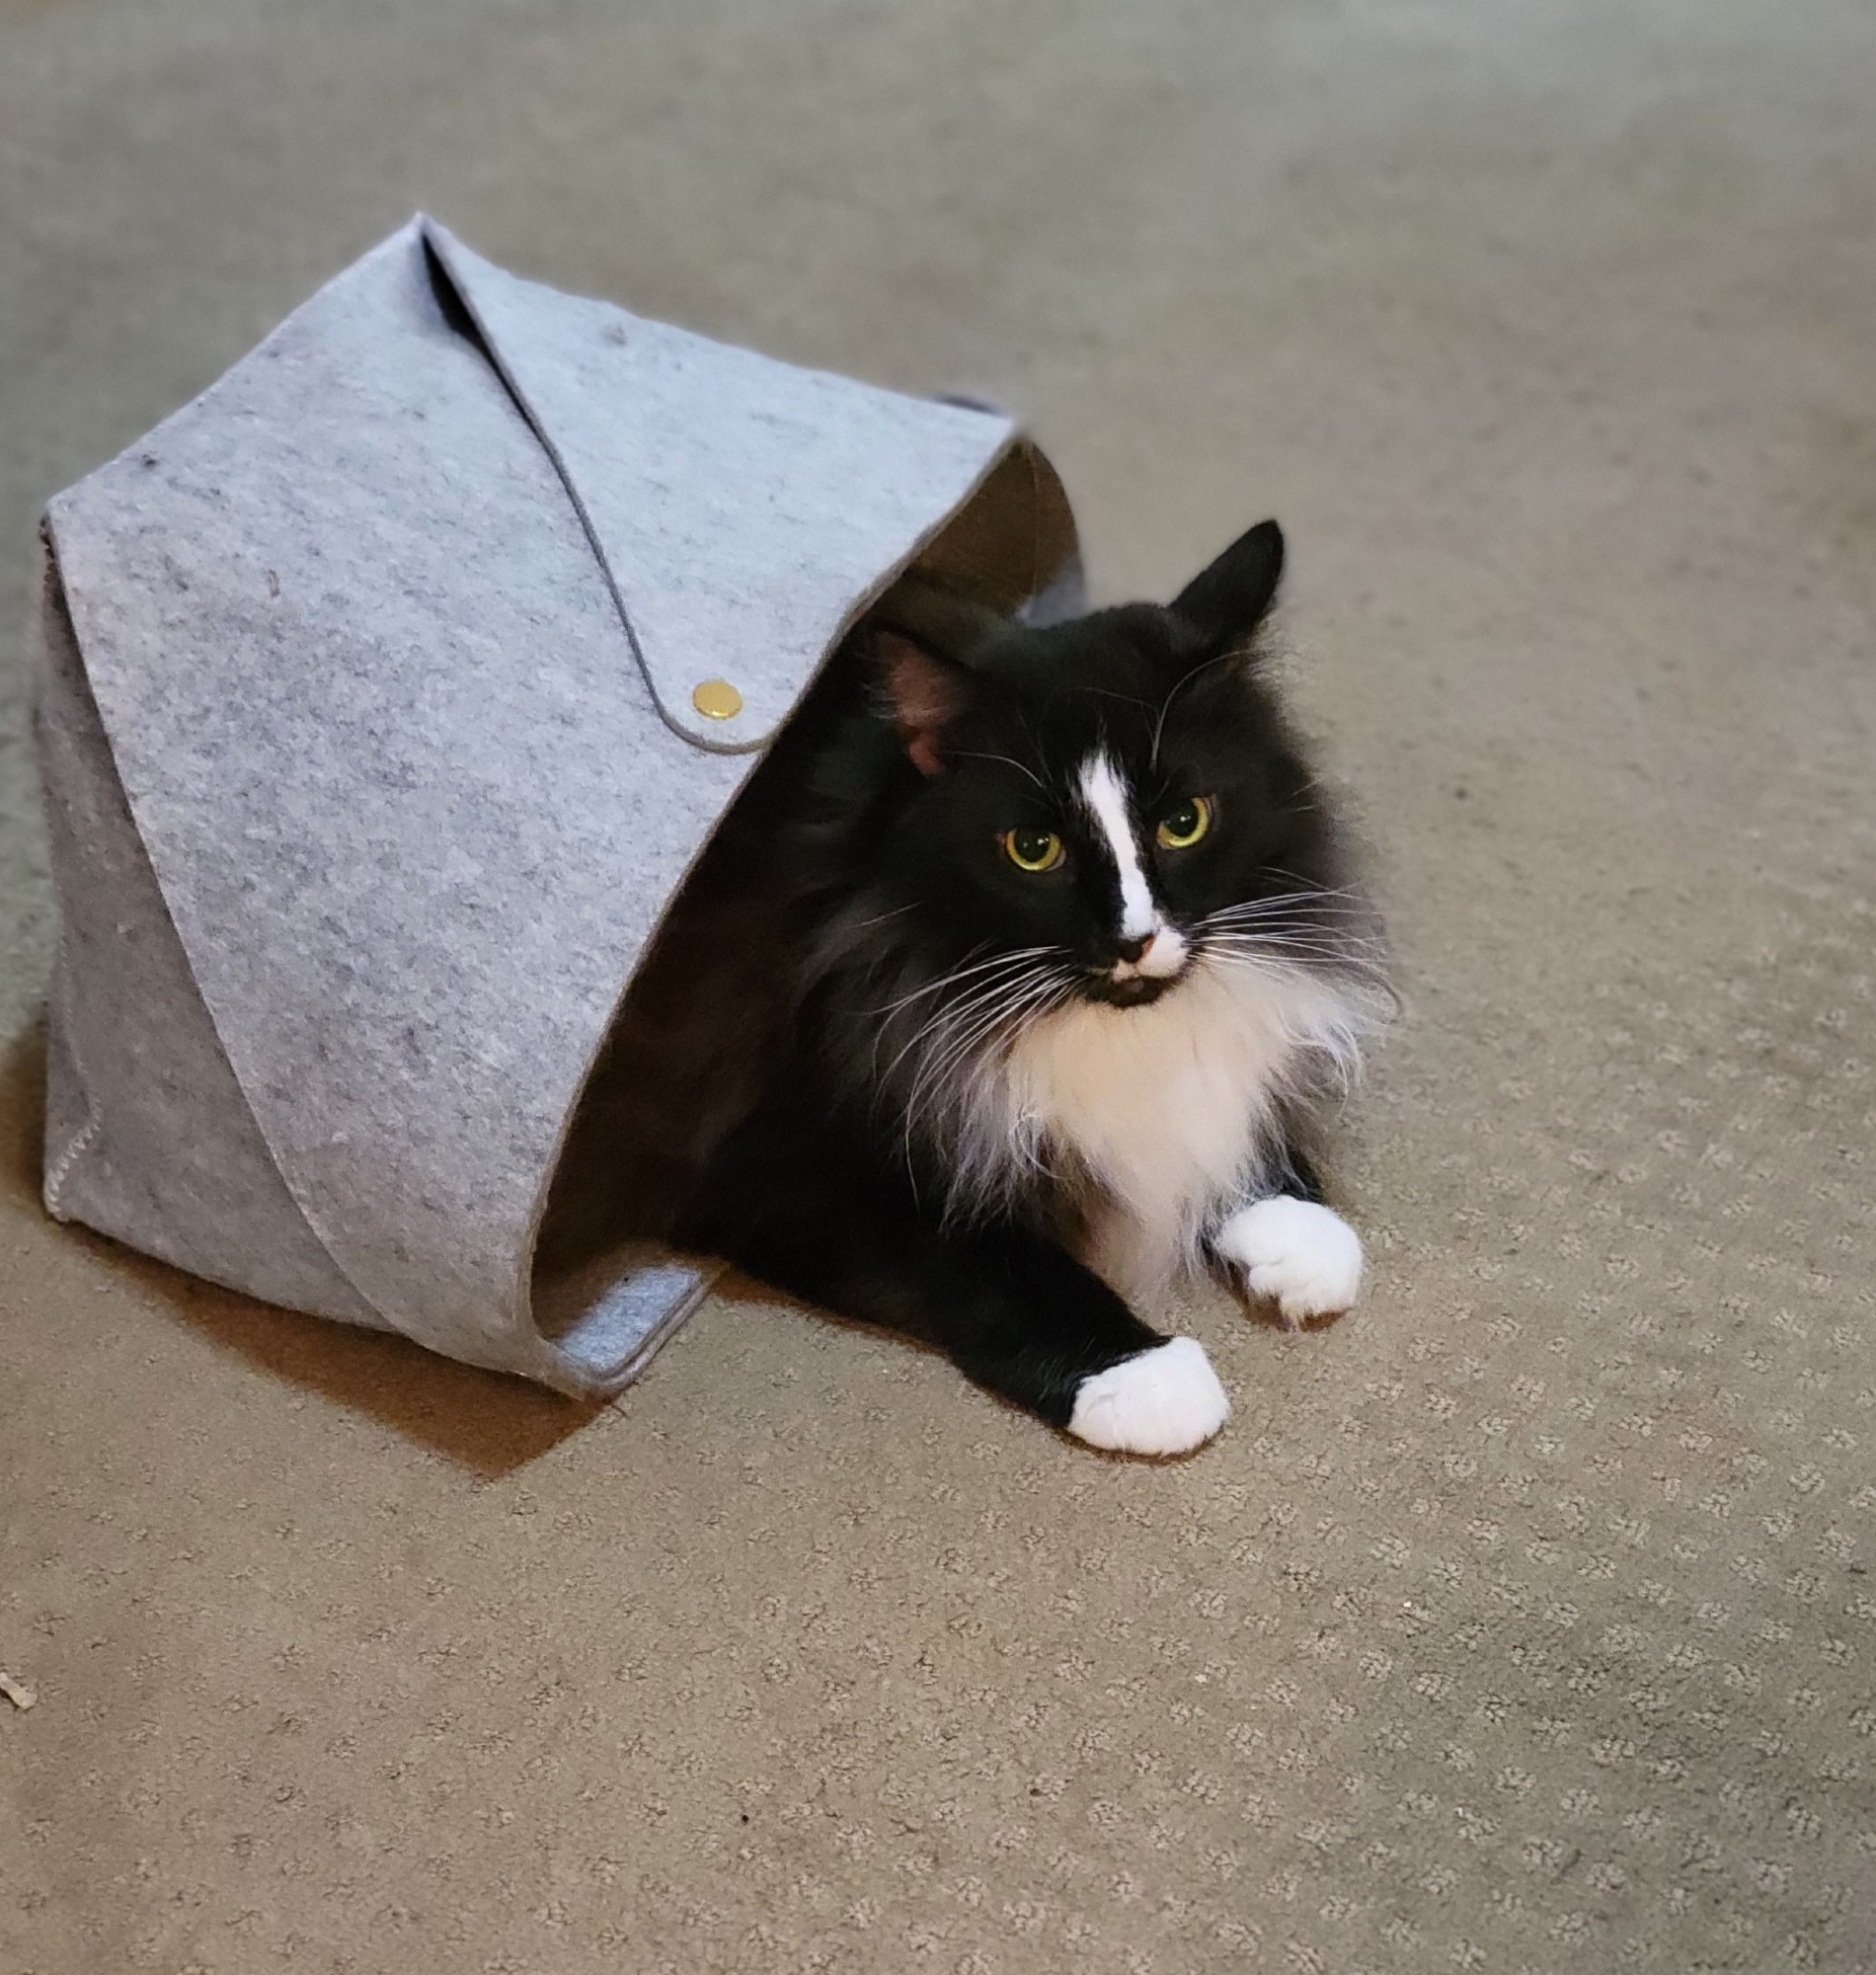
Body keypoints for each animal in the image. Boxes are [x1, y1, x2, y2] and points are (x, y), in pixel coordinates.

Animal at [547, 518, 1385, 1455]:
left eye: (1183, 823)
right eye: (1033, 850)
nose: (1133, 940)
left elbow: (1239, 1133)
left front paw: (1300, 1237)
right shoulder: (779, 1161)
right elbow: (991, 1259)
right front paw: (1144, 1376)